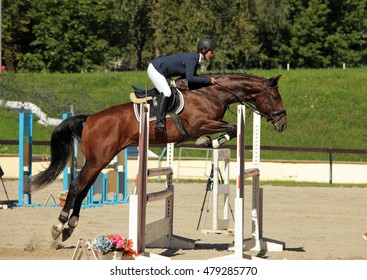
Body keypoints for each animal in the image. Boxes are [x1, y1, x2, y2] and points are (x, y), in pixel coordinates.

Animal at [23, 73, 288, 242]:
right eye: (276, 97)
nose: (283, 124)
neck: (211, 93)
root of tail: (90, 118)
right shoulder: (200, 124)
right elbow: (231, 128)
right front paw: (207, 142)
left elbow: (231, 128)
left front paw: (209, 142)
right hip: (97, 159)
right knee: (77, 185)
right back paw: (59, 226)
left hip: (101, 160)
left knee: (84, 188)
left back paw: (70, 228)